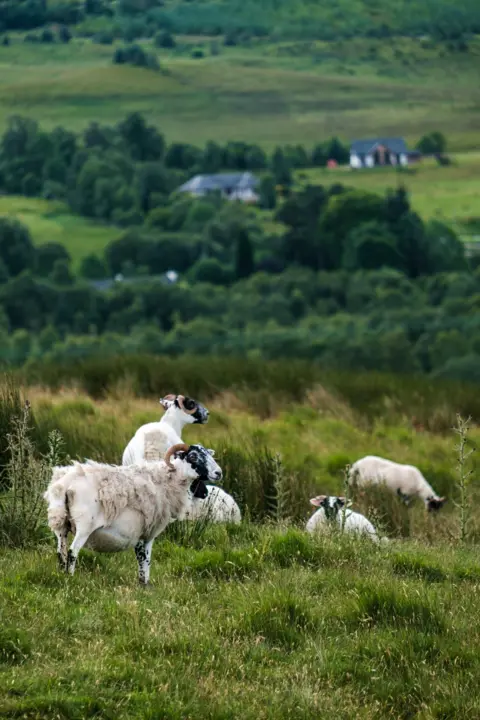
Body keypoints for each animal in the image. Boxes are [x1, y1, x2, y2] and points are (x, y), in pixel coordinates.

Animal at [44, 442, 222, 585]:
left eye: (208, 454)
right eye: (193, 456)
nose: (219, 473)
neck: (168, 479)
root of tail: (65, 484)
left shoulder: (139, 533)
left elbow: (141, 560)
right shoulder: (148, 533)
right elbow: (145, 561)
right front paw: (145, 585)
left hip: (61, 523)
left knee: (61, 551)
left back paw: (62, 575)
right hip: (84, 526)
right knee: (72, 552)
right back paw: (71, 578)